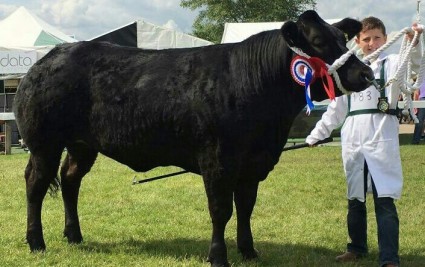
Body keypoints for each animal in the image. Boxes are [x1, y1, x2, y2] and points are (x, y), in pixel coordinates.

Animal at [13, 10, 372, 267]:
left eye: (342, 38)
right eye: (317, 40)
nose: (365, 73)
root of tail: (50, 57)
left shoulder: (252, 164)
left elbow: (246, 207)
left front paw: (249, 251)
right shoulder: (218, 160)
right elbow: (221, 210)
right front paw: (218, 256)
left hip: (82, 145)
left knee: (70, 180)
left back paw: (74, 235)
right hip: (44, 143)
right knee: (35, 184)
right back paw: (36, 242)